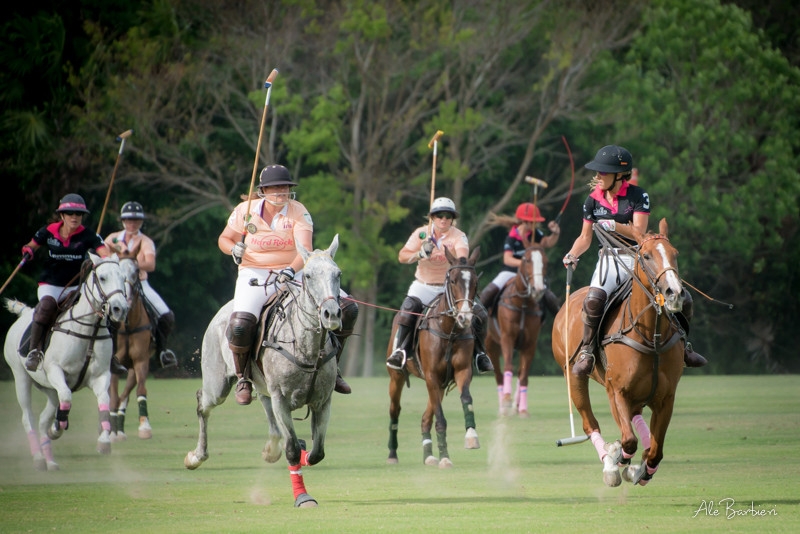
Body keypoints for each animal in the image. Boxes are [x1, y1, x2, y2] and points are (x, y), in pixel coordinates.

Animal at [2, 252, 129, 471]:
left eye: (123, 277)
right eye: (102, 277)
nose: (119, 309)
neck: (89, 329)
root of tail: (26, 313)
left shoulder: (101, 375)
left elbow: (104, 400)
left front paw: (104, 442)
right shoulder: (55, 370)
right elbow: (67, 397)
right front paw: (57, 429)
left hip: (47, 388)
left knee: (44, 417)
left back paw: (50, 461)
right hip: (21, 377)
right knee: (28, 417)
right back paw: (38, 458)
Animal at [185, 235, 343, 507]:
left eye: (338, 274)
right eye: (308, 275)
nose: (331, 313)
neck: (307, 347)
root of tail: (224, 310)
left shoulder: (323, 401)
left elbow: (317, 452)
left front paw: (304, 450)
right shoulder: (282, 399)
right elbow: (292, 449)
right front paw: (302, 497)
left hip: (263, 387)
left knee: (267, 411)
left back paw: (270, 449)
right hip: (218, 383)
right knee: (202, 402)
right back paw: (196, 456)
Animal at [387, 246, 481, 468]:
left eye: (475, 282)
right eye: (453, 280)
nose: (465, 317)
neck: (449, 330)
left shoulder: (462, 371)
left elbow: (466, 398)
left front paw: (471, 436)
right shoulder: (431, 375)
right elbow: (441, 419)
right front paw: (445, 457)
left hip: (440, 384)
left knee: (424, 417)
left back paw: (428, 455)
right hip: (397, 377)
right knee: (395, 411)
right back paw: (393, 454)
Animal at [484, 240, 547, 417]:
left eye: (545, 261)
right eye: (527, 260)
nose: (538, 290)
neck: (523, 305)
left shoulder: (530, 344)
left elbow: (524, 375)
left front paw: (523, 409)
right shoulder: (507, 338)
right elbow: (508, 367)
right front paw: (506, 400)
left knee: (519, 374)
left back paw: (516, 407)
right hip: (491, 344)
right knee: (498, 375)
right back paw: (503, 407)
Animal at [552, 218, 685, 487]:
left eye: (675, 254)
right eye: (646, 255)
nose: (674, 293)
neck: (651, 337)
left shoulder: (666, 398)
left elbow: (656, 451)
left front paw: (643, 469)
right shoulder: (617, 391)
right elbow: (628, 441)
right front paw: (616, 459)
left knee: (636, 420)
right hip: (572, 374)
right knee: (589, 424)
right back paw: (609, 461)